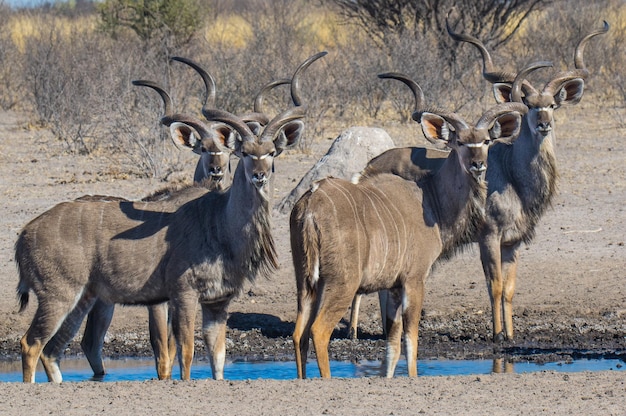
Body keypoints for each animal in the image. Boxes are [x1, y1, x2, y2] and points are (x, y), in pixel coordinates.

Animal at [15, 50, 326, 382]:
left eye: (271, 152)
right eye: (244, 152)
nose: (259, 176)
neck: (218, 222)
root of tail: (24, 234)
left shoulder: (218, 303)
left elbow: (217, 358)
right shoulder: (183, 294)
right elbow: (185, 354)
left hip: (83, 299)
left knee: (53, 350)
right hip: (58, 295)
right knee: (31, 343)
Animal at [290, 73, 524, 378]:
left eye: (486, 141)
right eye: (459, 142)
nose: (477, 165)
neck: (430, 198)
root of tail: (310, 204)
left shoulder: (393, 287)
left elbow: (392, 344)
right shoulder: (414, 279)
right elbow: (411, 340)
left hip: (306, 283)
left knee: (299, 333)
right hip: (341, 284)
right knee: (319, 331)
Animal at [346, 21, 604, 342]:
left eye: (553, 105)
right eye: (529, 104)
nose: (544, 124)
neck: (511, 176)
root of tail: (366, 169)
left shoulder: (512, 243)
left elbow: (509, 290)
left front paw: (511, 335)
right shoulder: (489, 237)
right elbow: (494, 286)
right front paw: (497, 334)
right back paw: (354, 331)